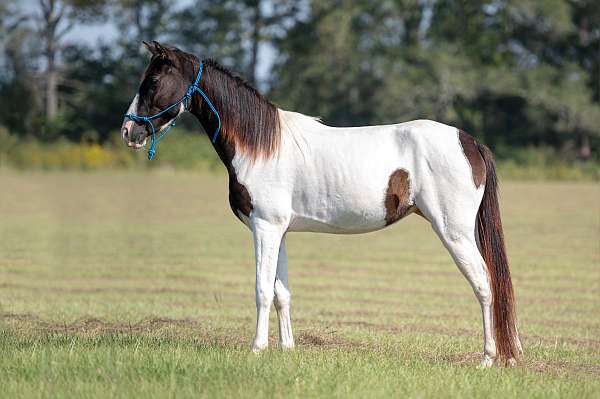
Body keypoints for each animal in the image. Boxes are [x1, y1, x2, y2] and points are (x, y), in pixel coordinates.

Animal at [120, 41, 520, 368]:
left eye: (152, 83)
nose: (129, 131)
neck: (261, 145)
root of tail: (469, 142)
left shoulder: (264, 228)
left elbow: (262, 289)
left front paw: (257, 348)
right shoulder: (279, 231)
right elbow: (281, 292)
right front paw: (287, 349)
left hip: (455, 232)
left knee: (484, 283)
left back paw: (488, 358)